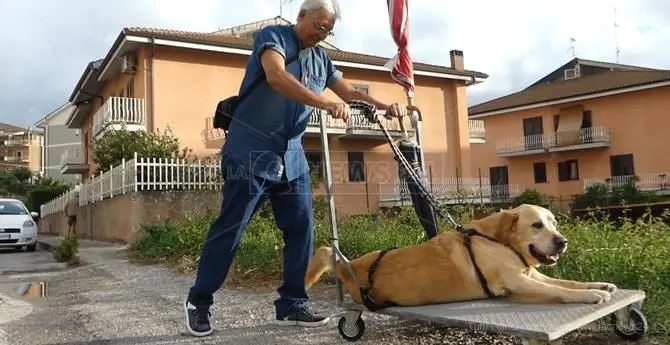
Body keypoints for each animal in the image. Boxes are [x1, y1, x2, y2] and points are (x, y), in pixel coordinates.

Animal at [306, 203, 620, 308]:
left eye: (554, 222)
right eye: (536, 225)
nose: (563, 242)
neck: (497, 239)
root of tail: (348, 266)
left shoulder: (531, 274)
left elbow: (567, 283)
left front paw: (600, 285)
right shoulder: (517, 281)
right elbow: (562, 291)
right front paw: (591, 295)